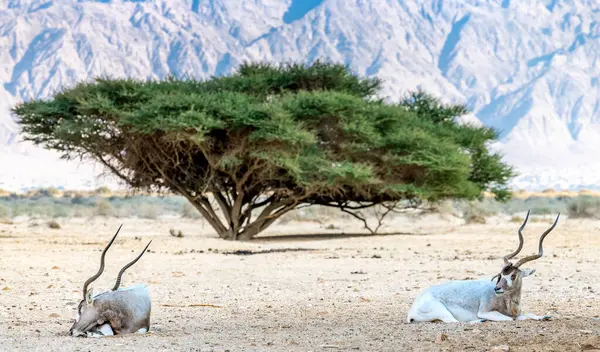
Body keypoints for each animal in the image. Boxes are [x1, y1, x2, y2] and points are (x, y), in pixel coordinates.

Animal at [406, 210, 560, 324]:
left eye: (513, 275)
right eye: (501, 274)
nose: (497, 288)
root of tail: (412, 310)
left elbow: (531, 315)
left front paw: (545, 316)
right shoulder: (486, 311)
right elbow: (511, 319)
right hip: (442, 311)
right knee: (454, 321)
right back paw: (480, 321)